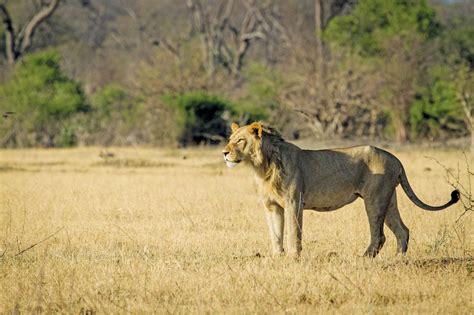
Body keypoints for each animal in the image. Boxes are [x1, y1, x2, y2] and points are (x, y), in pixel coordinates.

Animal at [222, 122, 460, 258]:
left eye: (240, 141)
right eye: (230, 140)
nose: (224, 153)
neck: (262, 167)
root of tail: (396, 158)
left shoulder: (293, 203)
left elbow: (293, 233)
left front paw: (292, 258)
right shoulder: (271, 206)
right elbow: (275, 234)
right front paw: (277, 257)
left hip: (374, 199)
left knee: (379, 235)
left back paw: (364, 258)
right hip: (389, 199)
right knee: (402, 231)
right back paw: (398, 260)